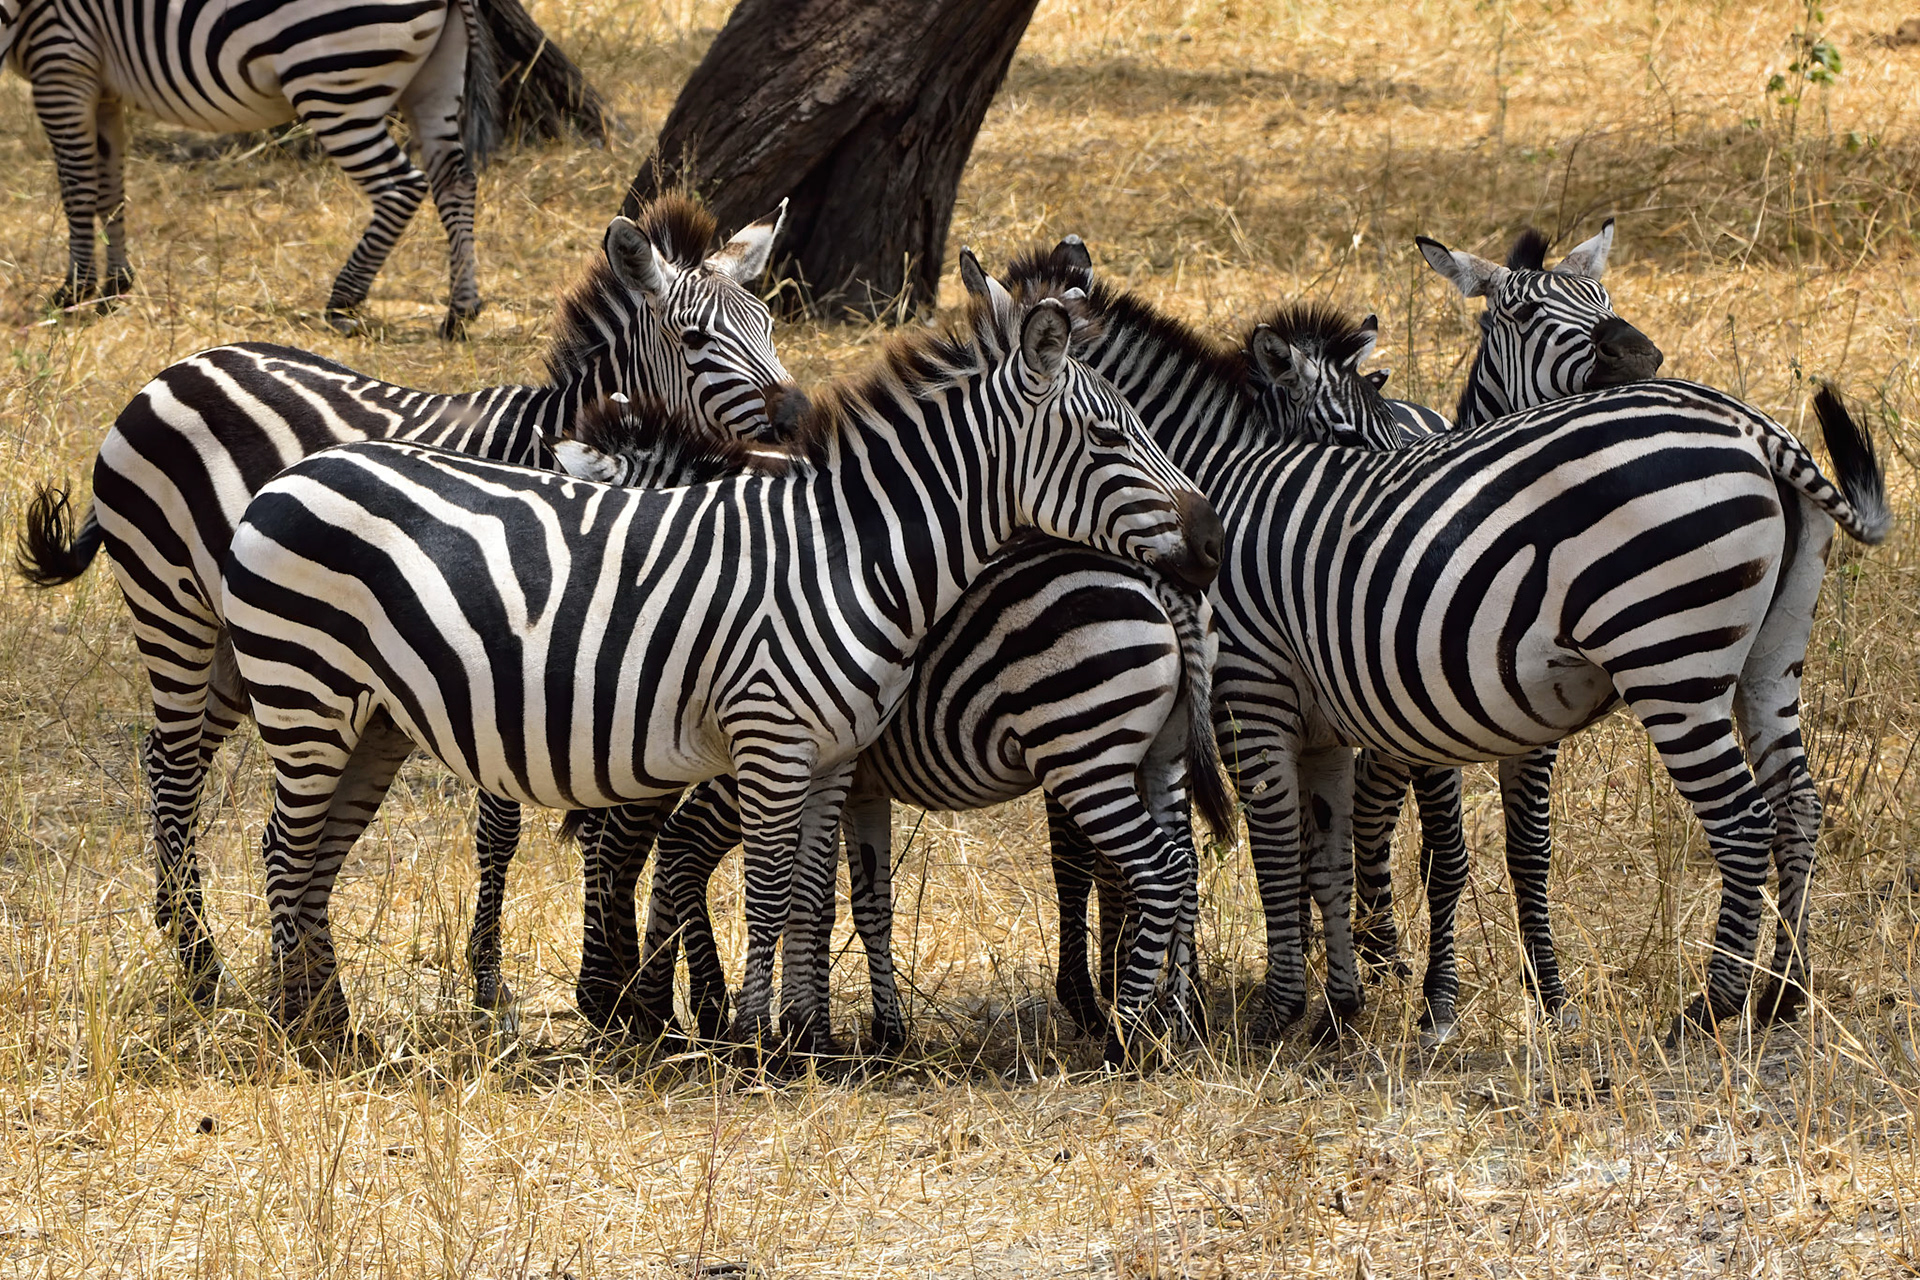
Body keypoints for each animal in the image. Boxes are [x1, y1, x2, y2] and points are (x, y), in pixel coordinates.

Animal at [1, 0, 498, 334]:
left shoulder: (62, 61)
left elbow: (77, 186)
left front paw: (74, 291)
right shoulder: (101, 85)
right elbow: (110, 188)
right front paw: (115, 287)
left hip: (332, 78)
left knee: (402, 185)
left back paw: (344, 301)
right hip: (433, 78)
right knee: (455, 179)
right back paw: (460, 310)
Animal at [15, 195, 801, 1011]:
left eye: (770, 327)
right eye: (696, 339)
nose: (796, 418)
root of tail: (176, 369)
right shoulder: (507, 651)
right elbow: (504, 827)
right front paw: (491, 984)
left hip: (251, 641)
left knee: (178, 757)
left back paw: (183, 930)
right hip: (172, 601)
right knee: (172, 763)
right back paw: (200, 967)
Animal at [215, 273, 1222, 1048]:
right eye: (1108, 438)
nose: (1212, 544)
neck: (851, 555)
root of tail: (292, 474)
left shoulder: (830, 756)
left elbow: (808, 889)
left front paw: (798, 1036)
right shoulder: (768, 740)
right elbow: (766, 889)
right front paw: (746, 1039)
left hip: (373, 723)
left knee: (316, 855)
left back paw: (333, 1027)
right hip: (305, 697)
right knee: (285, 849)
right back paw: (297, 1034)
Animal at [1003, 242, 1890, 1043]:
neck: (1225, 475)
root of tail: (1753, 429)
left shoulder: (1251, 690)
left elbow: (1279, 847)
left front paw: (1278, 1011)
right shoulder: (1324, 714)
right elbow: (1326, 849)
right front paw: (1337, 1004)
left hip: (1672, 662)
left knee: (1742, 821)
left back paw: (1713, 1006)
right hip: (1769, 657)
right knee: (1797, 804)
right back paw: (1785, 993)